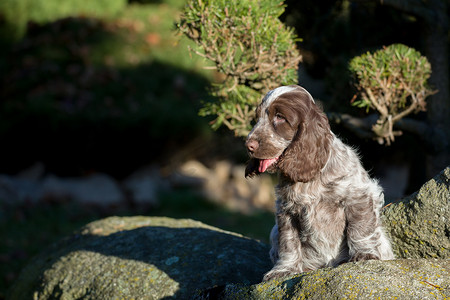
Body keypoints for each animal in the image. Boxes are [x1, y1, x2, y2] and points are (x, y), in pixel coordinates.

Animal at [246, 85, 394, 282]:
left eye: (280, 117)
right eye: (258, 117)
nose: (249, 145)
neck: (310, 177)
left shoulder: (358, 196)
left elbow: (360, 228)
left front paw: (364, 255)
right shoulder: (286, 210)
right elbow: (288, 243)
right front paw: (283, 270)